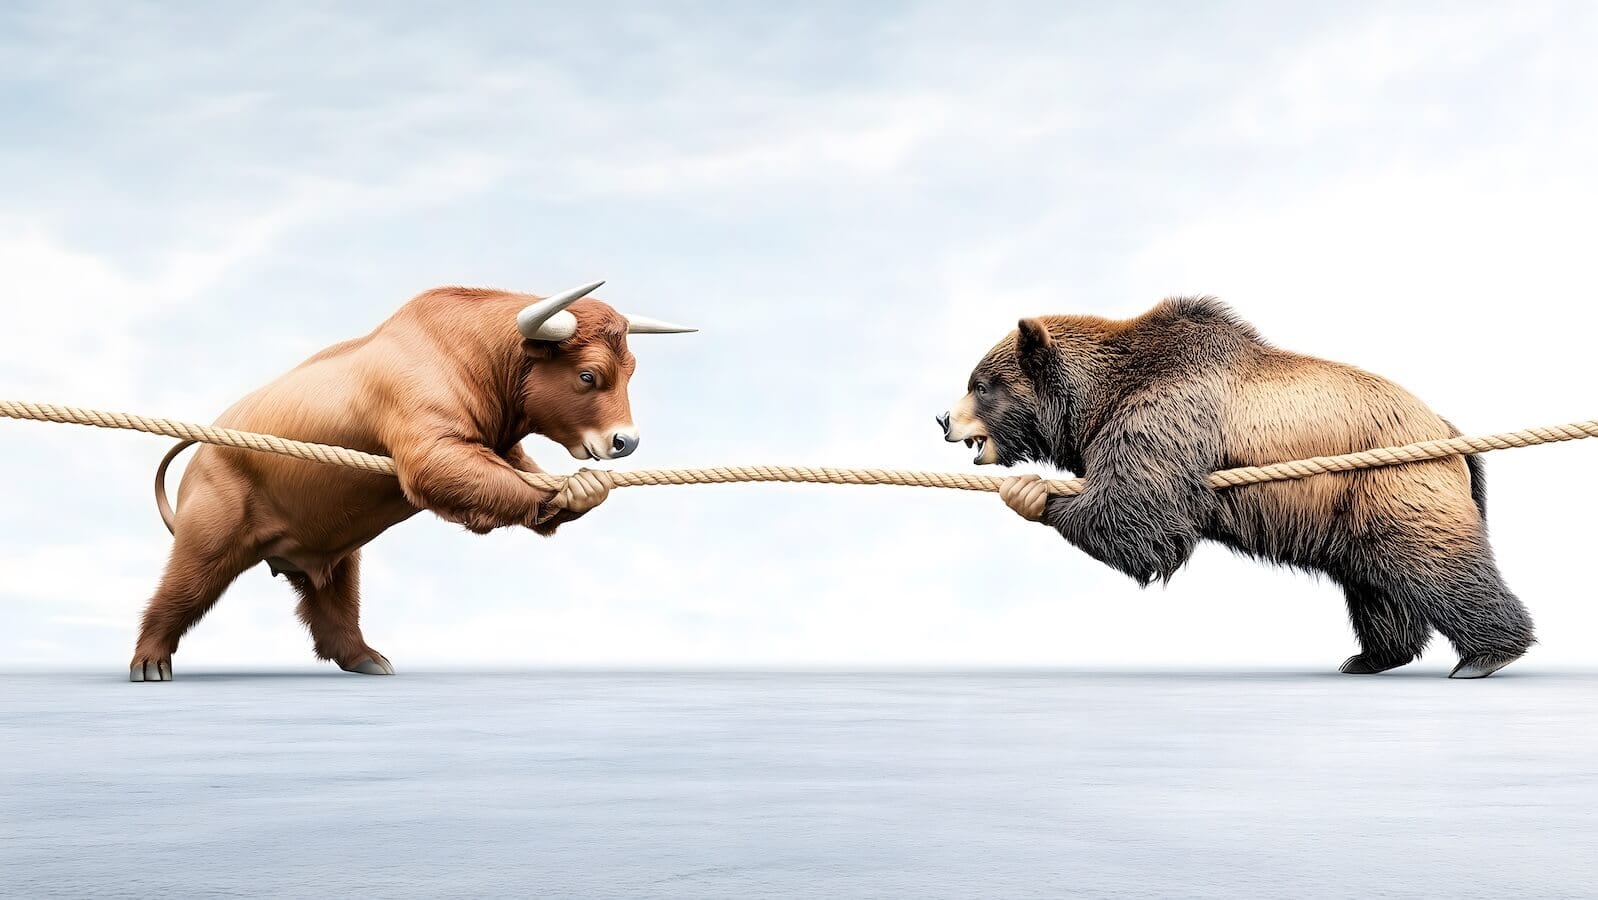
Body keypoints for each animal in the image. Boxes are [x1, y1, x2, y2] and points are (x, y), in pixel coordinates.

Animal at [131, 280, 692, 682]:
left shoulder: (500, 448)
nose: (625, 441)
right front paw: (571, 488)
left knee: (331, 605)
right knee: (180, 590)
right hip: (209, 540)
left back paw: (366, 659)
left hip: (330, 558)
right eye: (587, 375)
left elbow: (521, 475)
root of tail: (202, 455)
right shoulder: (434, 454)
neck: (473, 350)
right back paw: (150, 663)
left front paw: (584, 489)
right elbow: (494, 483)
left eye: (631, 371)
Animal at [937, 296, 1534, 678]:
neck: (1100, 398)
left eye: (981, 385)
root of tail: (1447, 429)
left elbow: (1139, 514)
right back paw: (1371, 657)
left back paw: (1486, 654)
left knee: (1433, 561)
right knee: (1373, 581)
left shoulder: (1169, 410)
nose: (944, 418)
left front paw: (1035, 493)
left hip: (1390, 479)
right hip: (1353, 505)